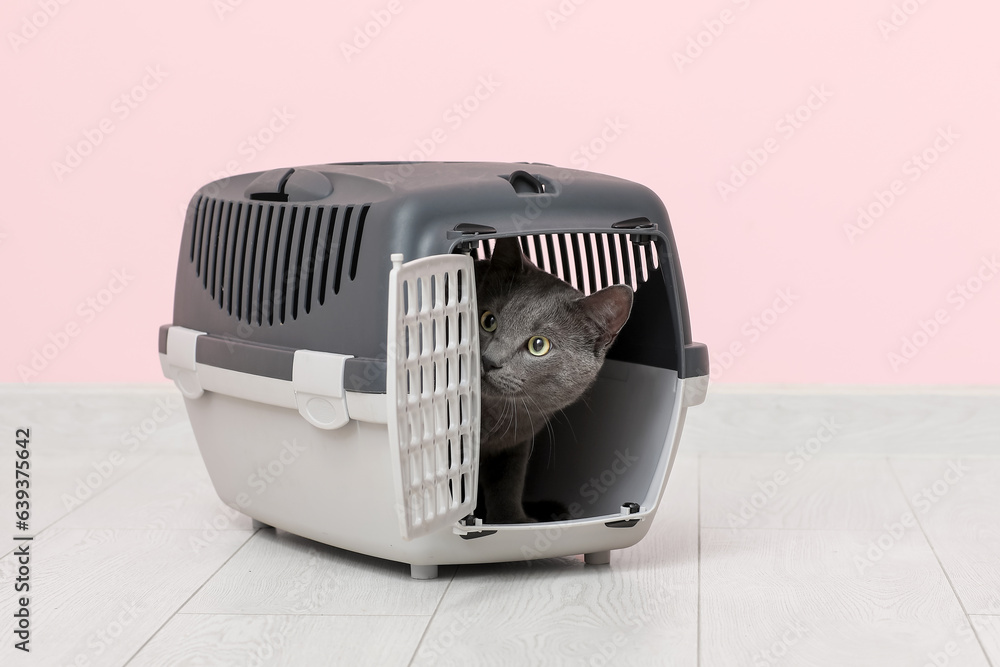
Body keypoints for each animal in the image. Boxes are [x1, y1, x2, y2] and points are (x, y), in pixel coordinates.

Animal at [474, 237, 632, 524]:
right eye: (488, 320)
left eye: (539, 345)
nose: (489, 360)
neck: (493, 416)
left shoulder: (515, 445)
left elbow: (507, 482)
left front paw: (511, 521)